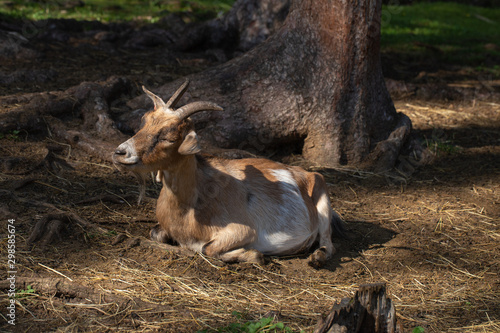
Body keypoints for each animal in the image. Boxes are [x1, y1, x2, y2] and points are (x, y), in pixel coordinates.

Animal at [113, 80, 344, 268]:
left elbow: (207, 248)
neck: (192, 204)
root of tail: (306, 173)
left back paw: (316, 258)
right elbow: (155, 233)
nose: (121, 153)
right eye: (144, 122)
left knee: (329, 243)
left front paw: (255, 255)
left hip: (323, 200)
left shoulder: (243, 230)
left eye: (169, 137)